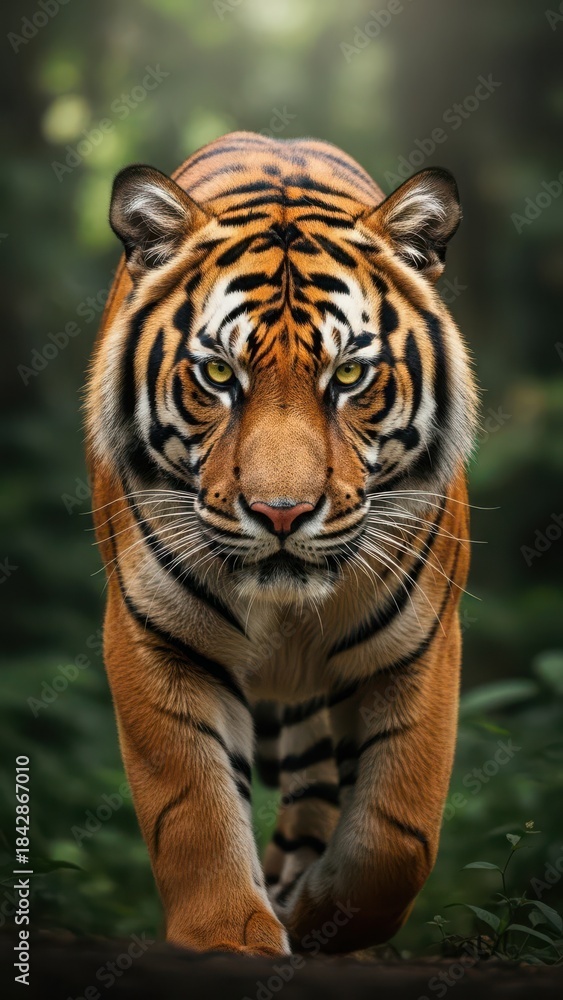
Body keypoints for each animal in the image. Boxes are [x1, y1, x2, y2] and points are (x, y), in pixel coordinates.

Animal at [85, 130, 477, 957]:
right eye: (216, 372)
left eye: (351, 374)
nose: (281, 513)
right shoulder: (156, 638)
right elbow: (192, 808)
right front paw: (229, 938)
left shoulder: (420, 647)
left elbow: (395, 836)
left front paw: (317, 915)